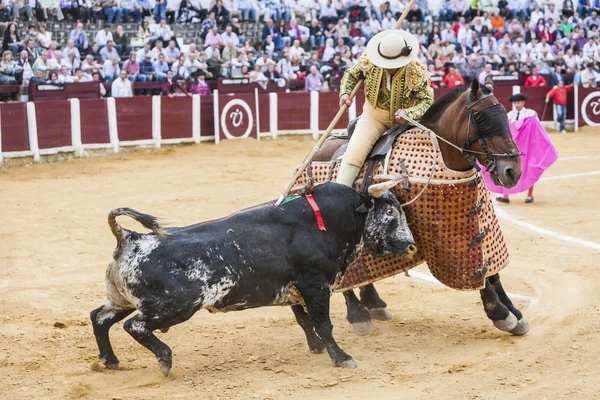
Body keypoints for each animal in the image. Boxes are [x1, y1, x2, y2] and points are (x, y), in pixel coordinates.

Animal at [90, 181, 418, 376]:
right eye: (391, 213)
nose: (411, 245)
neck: (328, 222)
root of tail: (130, 238)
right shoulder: (315, 285)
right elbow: (322, 323)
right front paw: (340, 357)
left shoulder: (295, 289)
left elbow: (304, 321)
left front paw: (317, 348)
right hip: (174, 306)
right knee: (135, 326)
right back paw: (164, 358)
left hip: (121, 300)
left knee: (99, 317)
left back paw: (110, 360)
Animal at [314, 76, 528, 336]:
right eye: (482, 120)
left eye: (505, 118)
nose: (513, 171)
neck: (443, 154)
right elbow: (480, 273)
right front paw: (501, 314)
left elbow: (491, 270)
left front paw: (515, 313)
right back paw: (358, 315)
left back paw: (374, 303)